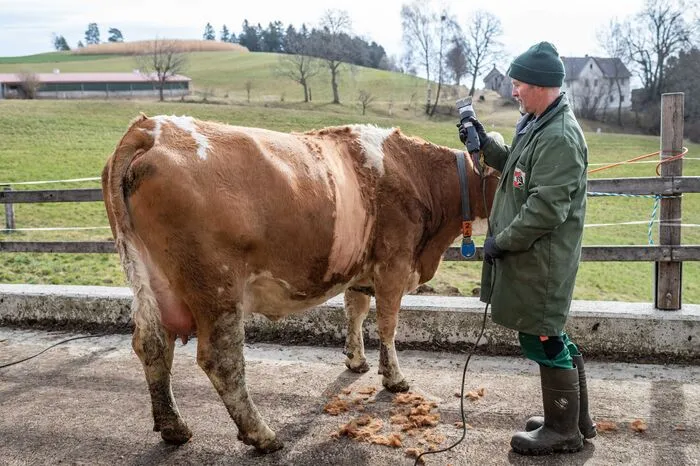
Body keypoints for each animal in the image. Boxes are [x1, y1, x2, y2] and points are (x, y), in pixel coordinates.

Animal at [101, 114, 499, 453]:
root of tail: (150, 128)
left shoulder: (359, 269)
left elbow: (355, 312)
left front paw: (356, 361)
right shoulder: (394, 266)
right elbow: (387, 325)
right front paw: (394, 378)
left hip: (151, 281)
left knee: (153, 346)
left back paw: (174, 427)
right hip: (216, 289)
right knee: (221, 360)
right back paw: (262, 435)